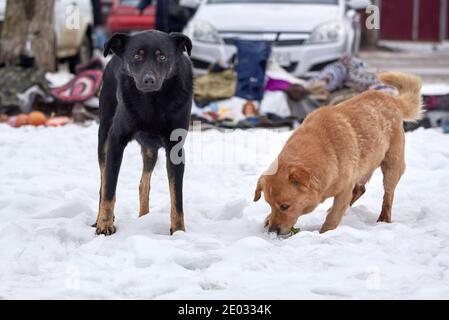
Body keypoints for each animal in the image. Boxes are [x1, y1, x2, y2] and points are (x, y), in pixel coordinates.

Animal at [93, 30, 192, 235]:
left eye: (162, 57)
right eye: (136, 56)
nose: (149, 80)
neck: (152, 101)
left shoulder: (175, 149)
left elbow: (176, 196)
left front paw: (178, 231)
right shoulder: (116, 140)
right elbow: (109, 189)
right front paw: (105, 224)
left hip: (150, 149)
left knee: (143, 184)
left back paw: (144, 218)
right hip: (103, 136)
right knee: (103, 182)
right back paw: (99, 218)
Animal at [254, 71, 422, 234]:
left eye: (285, 206)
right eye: (269, 204)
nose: (273, 231)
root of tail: (392, 99)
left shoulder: (344, 190)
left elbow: (334, 216)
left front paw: (325, 232)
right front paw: (268, 218)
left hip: (392, 166)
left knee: (388, 195)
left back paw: (384, 218)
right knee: (361, 189)